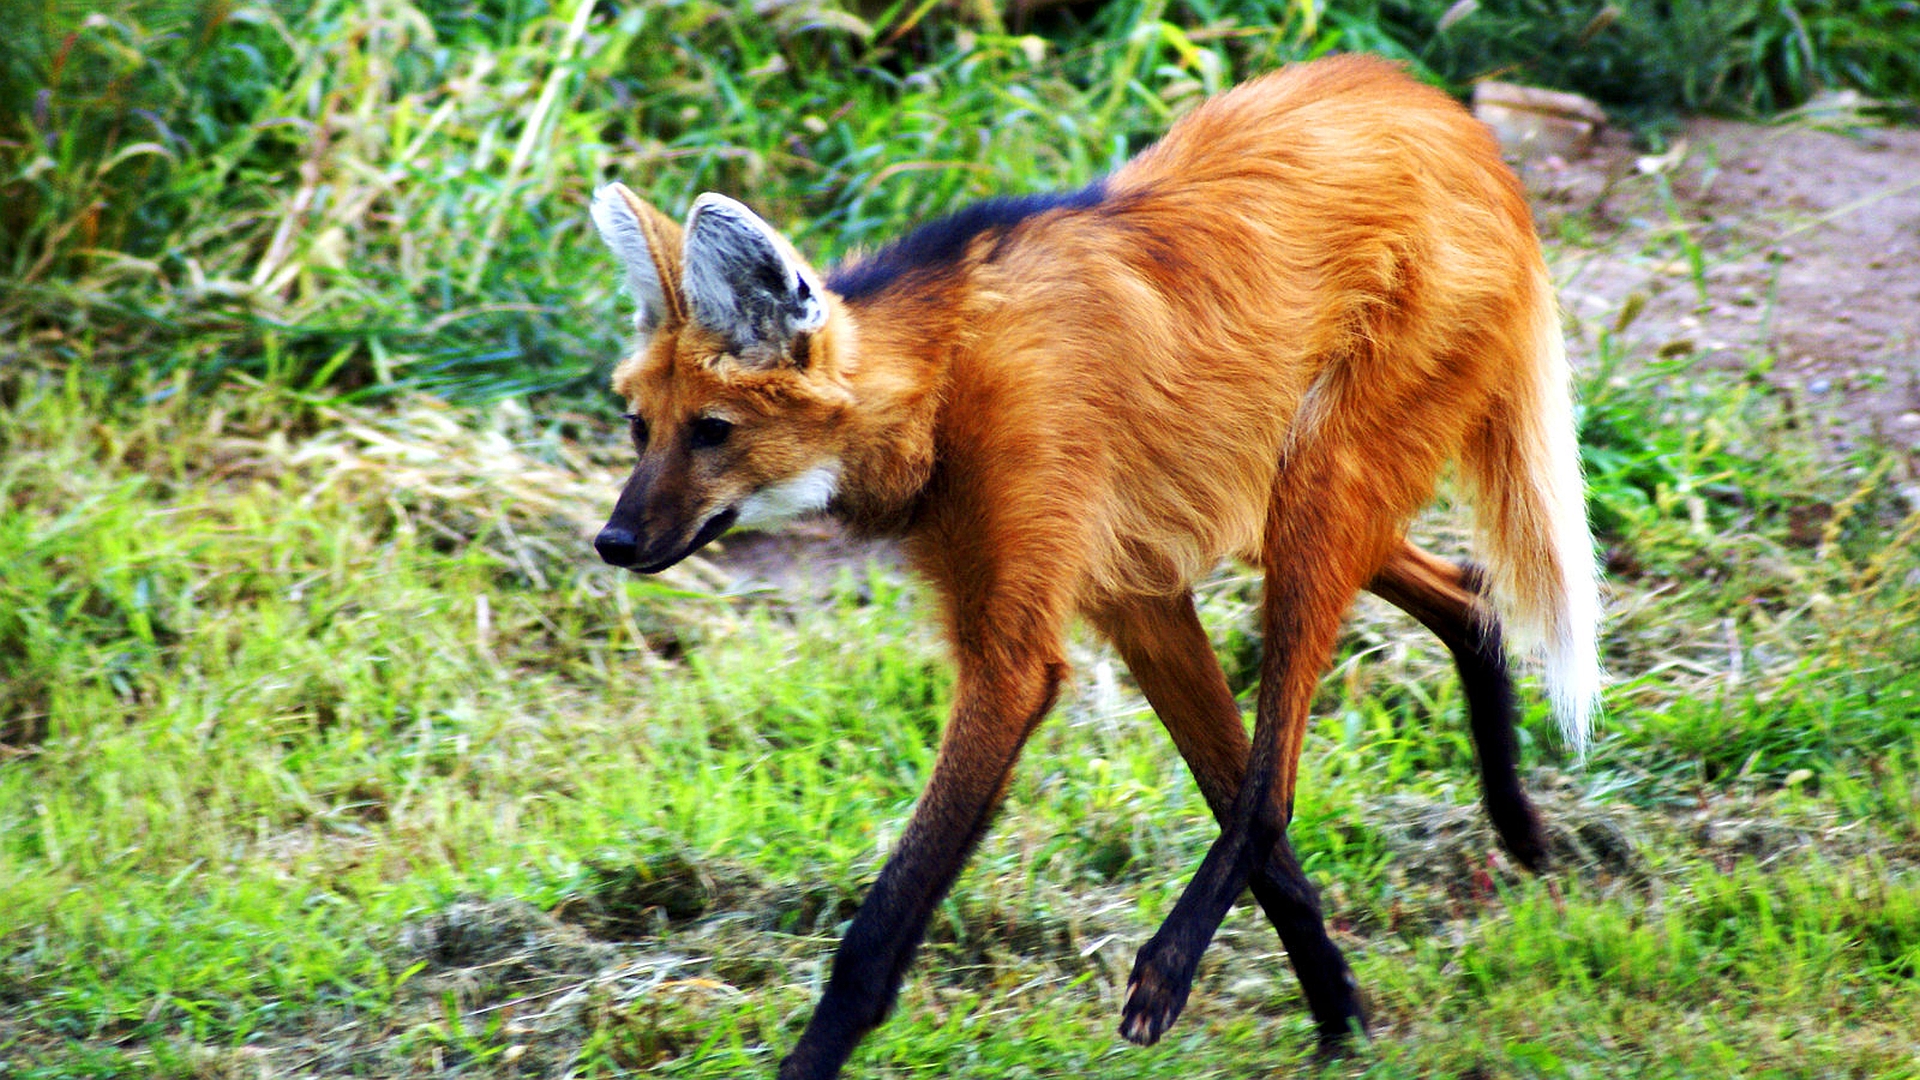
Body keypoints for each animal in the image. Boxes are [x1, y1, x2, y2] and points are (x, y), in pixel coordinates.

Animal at [587, 54, 1605, 1076]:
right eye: (641, 430)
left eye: (713, 432)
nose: (614, 543)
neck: (942, 386)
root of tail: (1450, 118)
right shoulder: (1136, 597)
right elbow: (1257, 835)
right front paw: (1341, 1015)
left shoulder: (1017, 655)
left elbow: (883, 925)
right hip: (1262, 495)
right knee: (1468, 599)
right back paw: (1517, 826)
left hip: (1316, 482)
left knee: (1277, 779)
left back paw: (1175, 962)